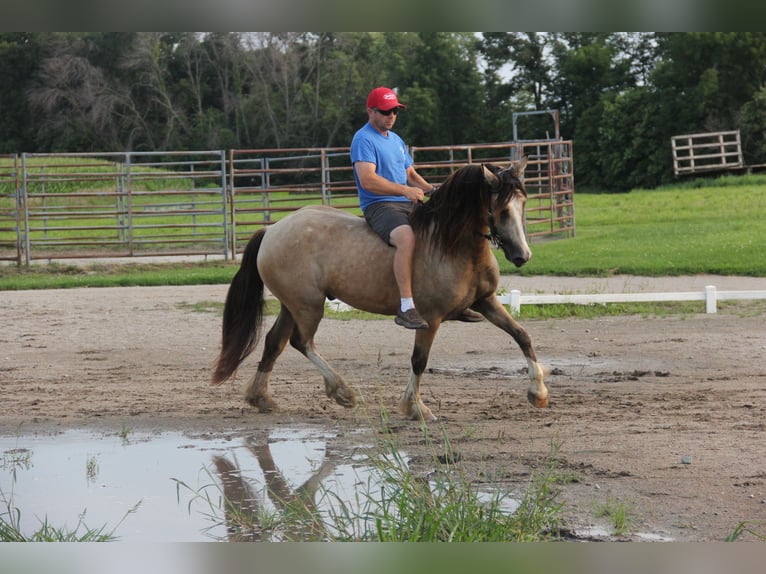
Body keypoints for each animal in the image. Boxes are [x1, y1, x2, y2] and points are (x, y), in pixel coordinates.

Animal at [212, 160, 544, 420]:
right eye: (502, 211)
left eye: (523, 205)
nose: (522, 256)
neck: (453, 246)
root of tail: (272, 230)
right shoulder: (431, 319)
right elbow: (419, 360)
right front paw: (415, 408)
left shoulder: (486, 301)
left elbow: (522, 335)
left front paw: (538, 392)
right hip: (308, 306)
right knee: (300, 342)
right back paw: (341, 392)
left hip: (291, 305)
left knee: (274, 343)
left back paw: (261, 398)